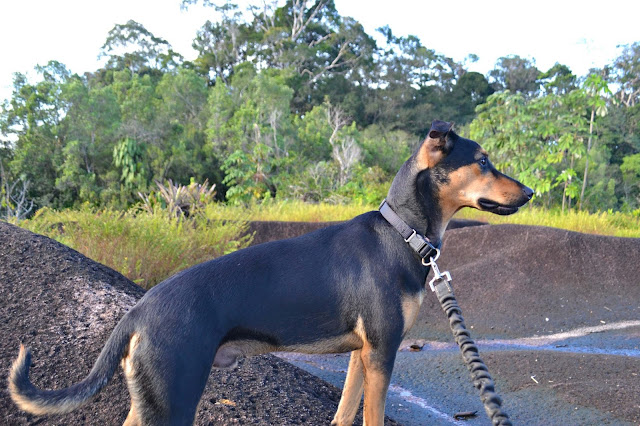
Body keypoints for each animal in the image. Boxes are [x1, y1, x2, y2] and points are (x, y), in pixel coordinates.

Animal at [8, 120, 528, 426]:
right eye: (483, 161)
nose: (529, 194)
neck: (401, 232)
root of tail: (138, 310)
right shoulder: (383, 350)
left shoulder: (362, 355)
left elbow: (345, 414)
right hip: (175, 397)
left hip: (152, 399)